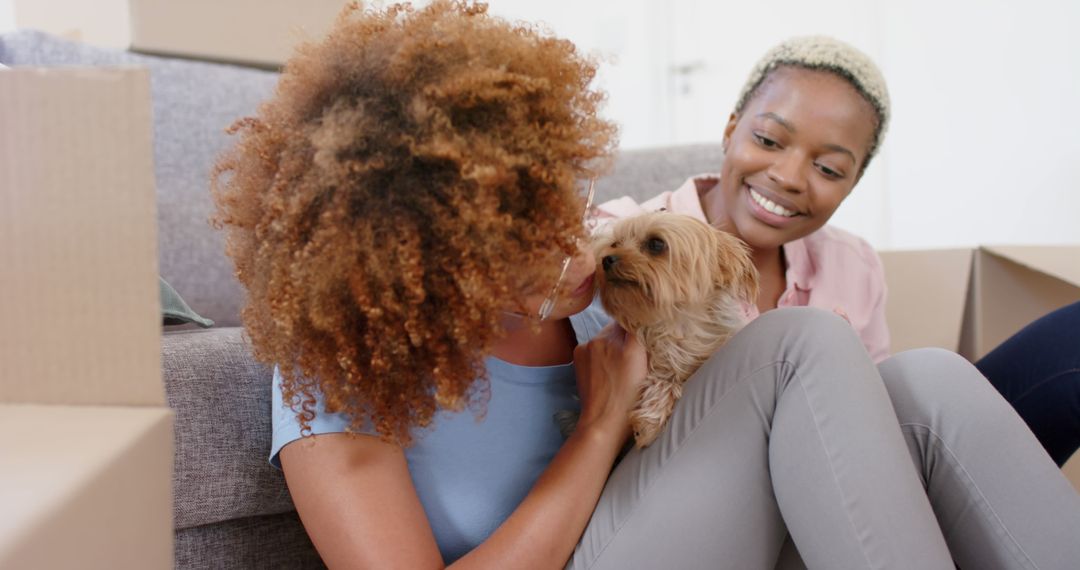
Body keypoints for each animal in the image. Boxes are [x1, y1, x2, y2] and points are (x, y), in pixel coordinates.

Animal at [596, 211, 756, 446]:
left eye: (656, 243)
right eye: (615, 244)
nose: (606, 259)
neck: (678, 325)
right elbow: (663, 380)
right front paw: (649, 422)